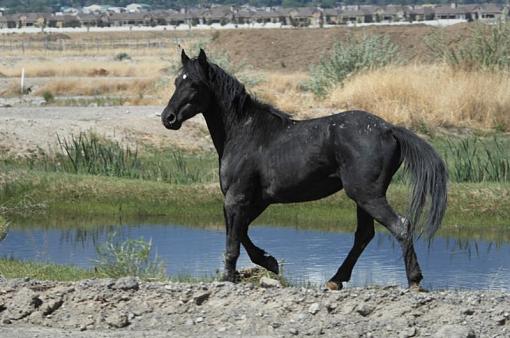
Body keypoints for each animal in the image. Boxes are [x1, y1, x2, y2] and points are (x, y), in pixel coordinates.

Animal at [162, 50, 446, 290]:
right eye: (177, 81)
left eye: (194, 84)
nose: (168, 118)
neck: (244, 132)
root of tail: (390, 129)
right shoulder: (256, 201)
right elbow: (241, 233)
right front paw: (269, 261)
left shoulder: (236, 198)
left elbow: (233, 240)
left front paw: (230, 277)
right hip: (363, 197)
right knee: (364, 235)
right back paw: (335, 280)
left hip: (367, 195)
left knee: (400, 226)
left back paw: (414, 281)